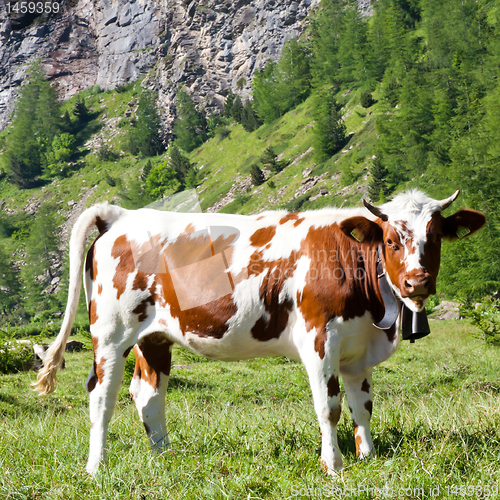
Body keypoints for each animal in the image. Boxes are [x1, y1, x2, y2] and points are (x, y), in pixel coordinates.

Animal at [36, 189, 484, 474]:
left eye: (434, 238)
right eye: (391, 240)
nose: (416, 281)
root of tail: (122, 215)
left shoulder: (359, 348)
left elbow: (363, 407)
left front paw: (368, 458)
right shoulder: (319, 339)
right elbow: (330, 406)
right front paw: (333, 465)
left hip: (154, 337)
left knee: (147, 394)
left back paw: (164, 457)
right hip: (111, 333)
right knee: (102, 394)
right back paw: (96, 466)